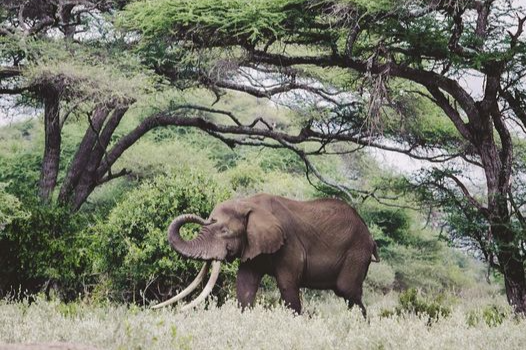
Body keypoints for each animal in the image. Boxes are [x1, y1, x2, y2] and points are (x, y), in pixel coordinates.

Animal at [153, 193, 380, 316]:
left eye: (224, 231)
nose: (206, 219)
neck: (248, 203)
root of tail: (370, 238)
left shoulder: (288, 243)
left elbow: (287, 285)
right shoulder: (252, 245)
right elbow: (244, 285)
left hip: (356, 252)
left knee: (348, 292)